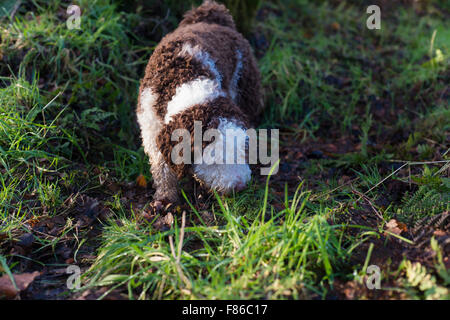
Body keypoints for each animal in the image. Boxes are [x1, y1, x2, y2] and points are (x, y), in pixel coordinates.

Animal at [137, 1, 264, 202]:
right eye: (214, 158)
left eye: (241, 150)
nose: (240, 186)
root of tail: (213, 15)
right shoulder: (150, 125)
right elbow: (161, 166)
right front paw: (166, 197)